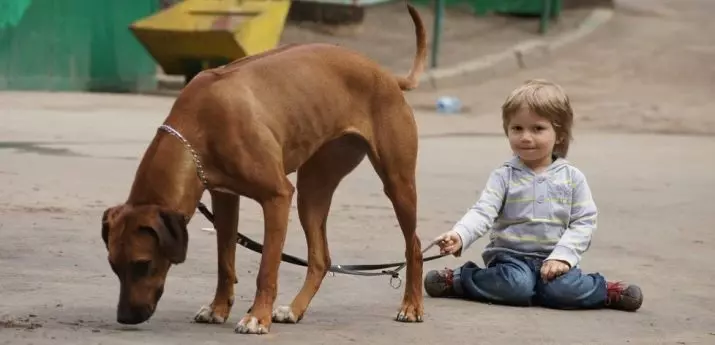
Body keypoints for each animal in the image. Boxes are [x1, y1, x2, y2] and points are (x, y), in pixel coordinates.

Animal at [100, 1, 426, 332]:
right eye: (113, 265)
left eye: (142, 265)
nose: (124, 317)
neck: (198, 124)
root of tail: (386, 74)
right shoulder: (224, 198)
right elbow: (224, 261)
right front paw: (218, 308)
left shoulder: (277, 197)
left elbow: (267, 267)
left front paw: (257, 316)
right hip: (313, 190)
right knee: (320, 258)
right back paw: (295, 309)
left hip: (397, 183)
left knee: (414, 246)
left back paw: (411, 306)